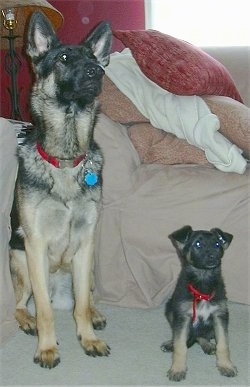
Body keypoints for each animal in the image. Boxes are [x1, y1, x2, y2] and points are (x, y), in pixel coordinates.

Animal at [9, 11, 112, 370]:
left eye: (94, 58)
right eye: (64, 58)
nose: (98, 71)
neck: (66, 159)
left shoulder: (85, 243)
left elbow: (80, 307)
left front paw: (89, 339)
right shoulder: (36, 244)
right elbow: (45, 312)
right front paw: (47, 348)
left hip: (88, 269)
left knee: (84, 297)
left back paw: (94, 314)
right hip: (20, 259)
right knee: (22, 304)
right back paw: (26, 320)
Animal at [161, 226, 237, 384]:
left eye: (217, 244)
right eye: (198, 244)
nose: (213, 257)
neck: (203, 281)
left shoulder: (220, 315)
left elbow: (223, 344)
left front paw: (226, 365)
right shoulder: (183, 316)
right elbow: (180, 345)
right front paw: (178, 369)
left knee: (201, 336)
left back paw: (208, 345)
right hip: (170, 309)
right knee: (185, 336)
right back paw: (170, 343)